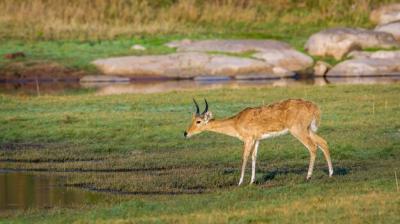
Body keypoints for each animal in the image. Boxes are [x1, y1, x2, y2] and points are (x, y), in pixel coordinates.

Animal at [183, 98, 332, 186]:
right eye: (192, 119)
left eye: (198, 121)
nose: (186, 133)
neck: (236, 122)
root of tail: (314, 107)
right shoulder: (257, 140)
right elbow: (254, 157)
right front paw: (252, 181)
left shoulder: (248, 139)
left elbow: (244, 157)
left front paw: (240, 182)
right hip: (309, 130)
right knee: (323, 142)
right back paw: (330, 173)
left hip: (298, 131)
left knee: (312, 147)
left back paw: (308, 177)